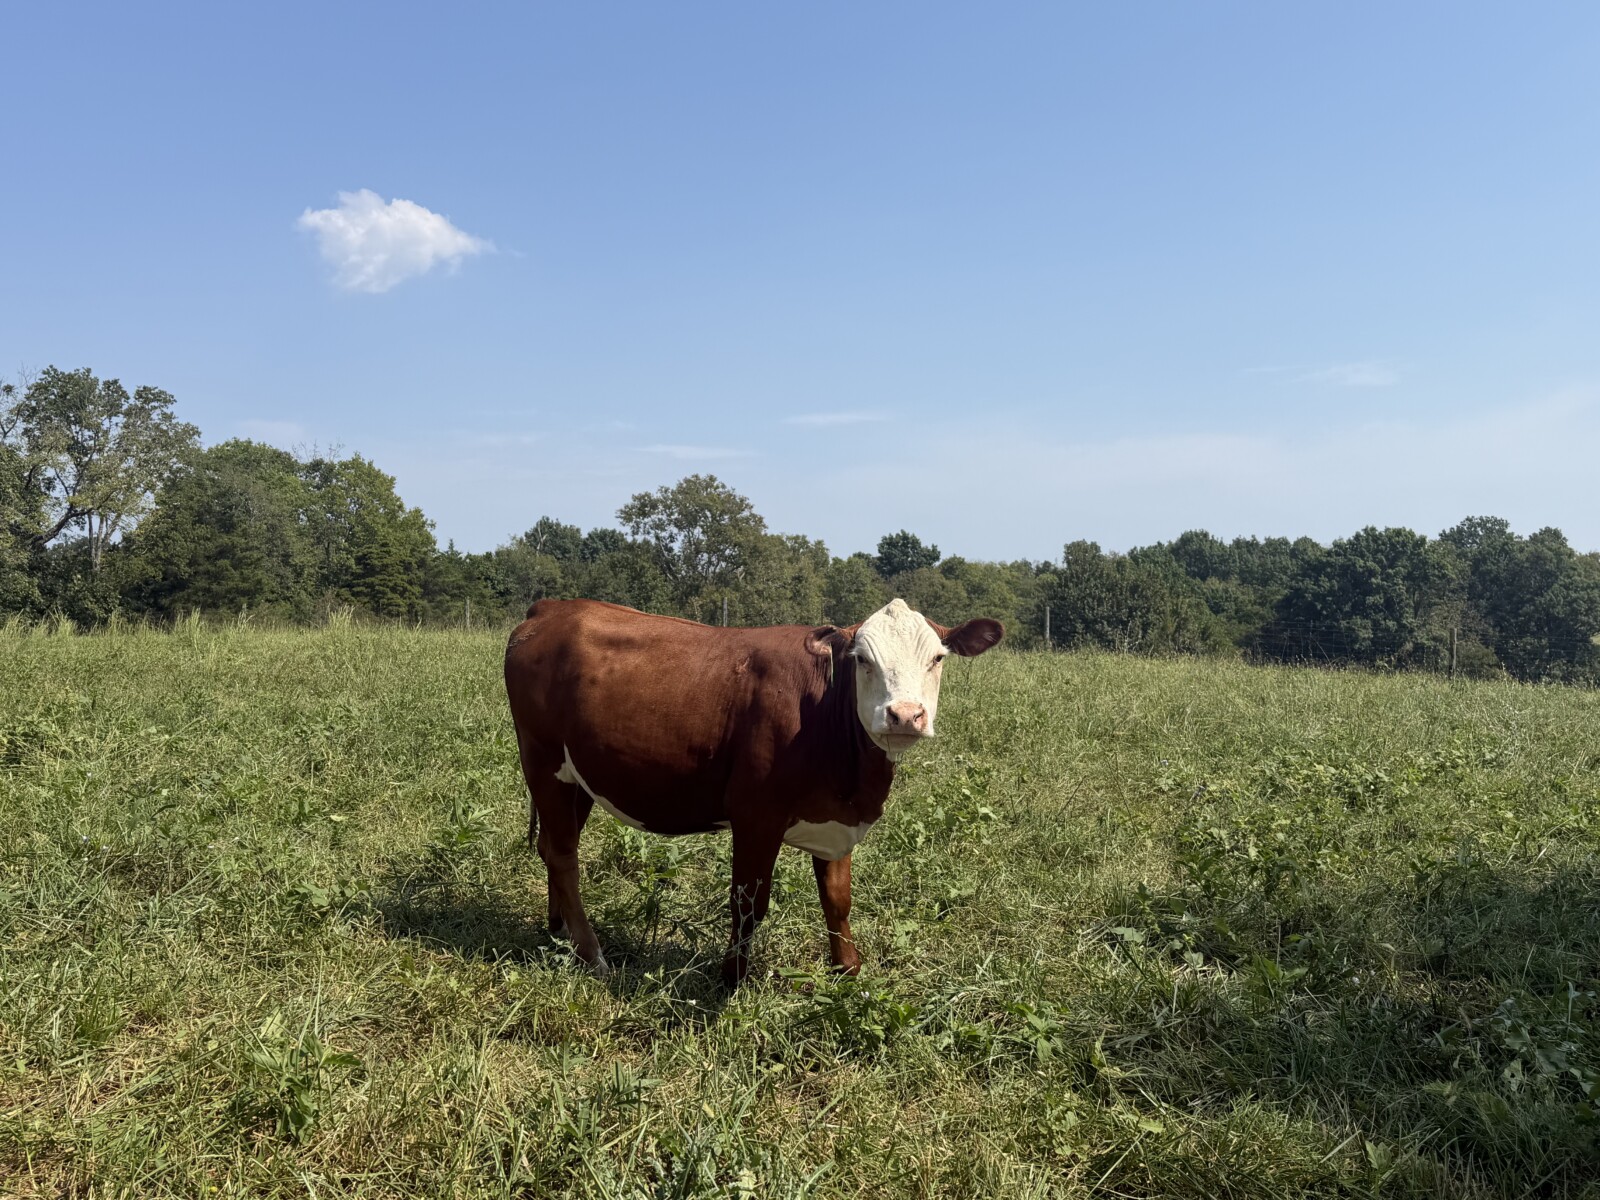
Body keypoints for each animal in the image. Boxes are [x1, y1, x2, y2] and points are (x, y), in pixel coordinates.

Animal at [503, 597, 1003, 985]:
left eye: (937, 658)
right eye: (862, 659)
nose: (905, 715)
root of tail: (553, 607)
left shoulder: (836, 819)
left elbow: (837, 899)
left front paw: (846, 970)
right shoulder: (755, 816)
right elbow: (748, 902)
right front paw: (733, 976)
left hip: (580, 775)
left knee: (554, 844)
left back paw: (559, 930)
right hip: (542, 759)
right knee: (564, 854)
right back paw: (592, 953)